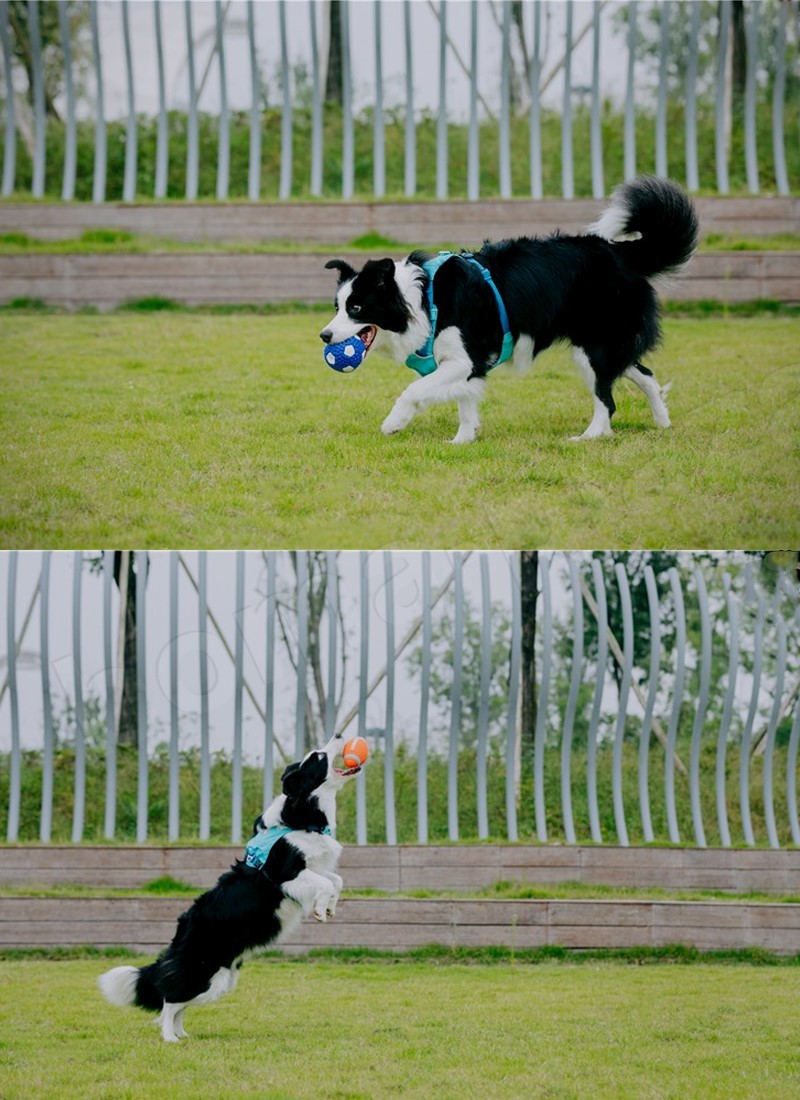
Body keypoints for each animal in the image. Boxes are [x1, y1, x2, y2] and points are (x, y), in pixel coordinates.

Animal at [98, 734, 360, 1042]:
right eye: (318, 756)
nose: (340, 735)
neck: (301, 814)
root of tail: (180, 934)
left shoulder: (314, 866)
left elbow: (336, 880)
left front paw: (329, 908)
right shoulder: (285, 874)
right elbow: (324, 882)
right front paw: (320, 909)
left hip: (219, 980)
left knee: (179, 1004)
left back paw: (182, 1034)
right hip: (205, 973)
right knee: (169, 999)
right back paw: (169, 1037)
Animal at [321, 176, 699, 442]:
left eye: (356, 307)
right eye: (337, 306)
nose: (324, 335)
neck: (424, 300)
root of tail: (621, 254)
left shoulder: (465, 357)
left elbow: (416, 391)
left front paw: (394, 422)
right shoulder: (463, 363)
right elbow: (465, 400)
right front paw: (462, 440)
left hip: (595, 346)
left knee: (607, 399)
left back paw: (590, 436)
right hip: (602, 344)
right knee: (642, 373)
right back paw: (662, 421)